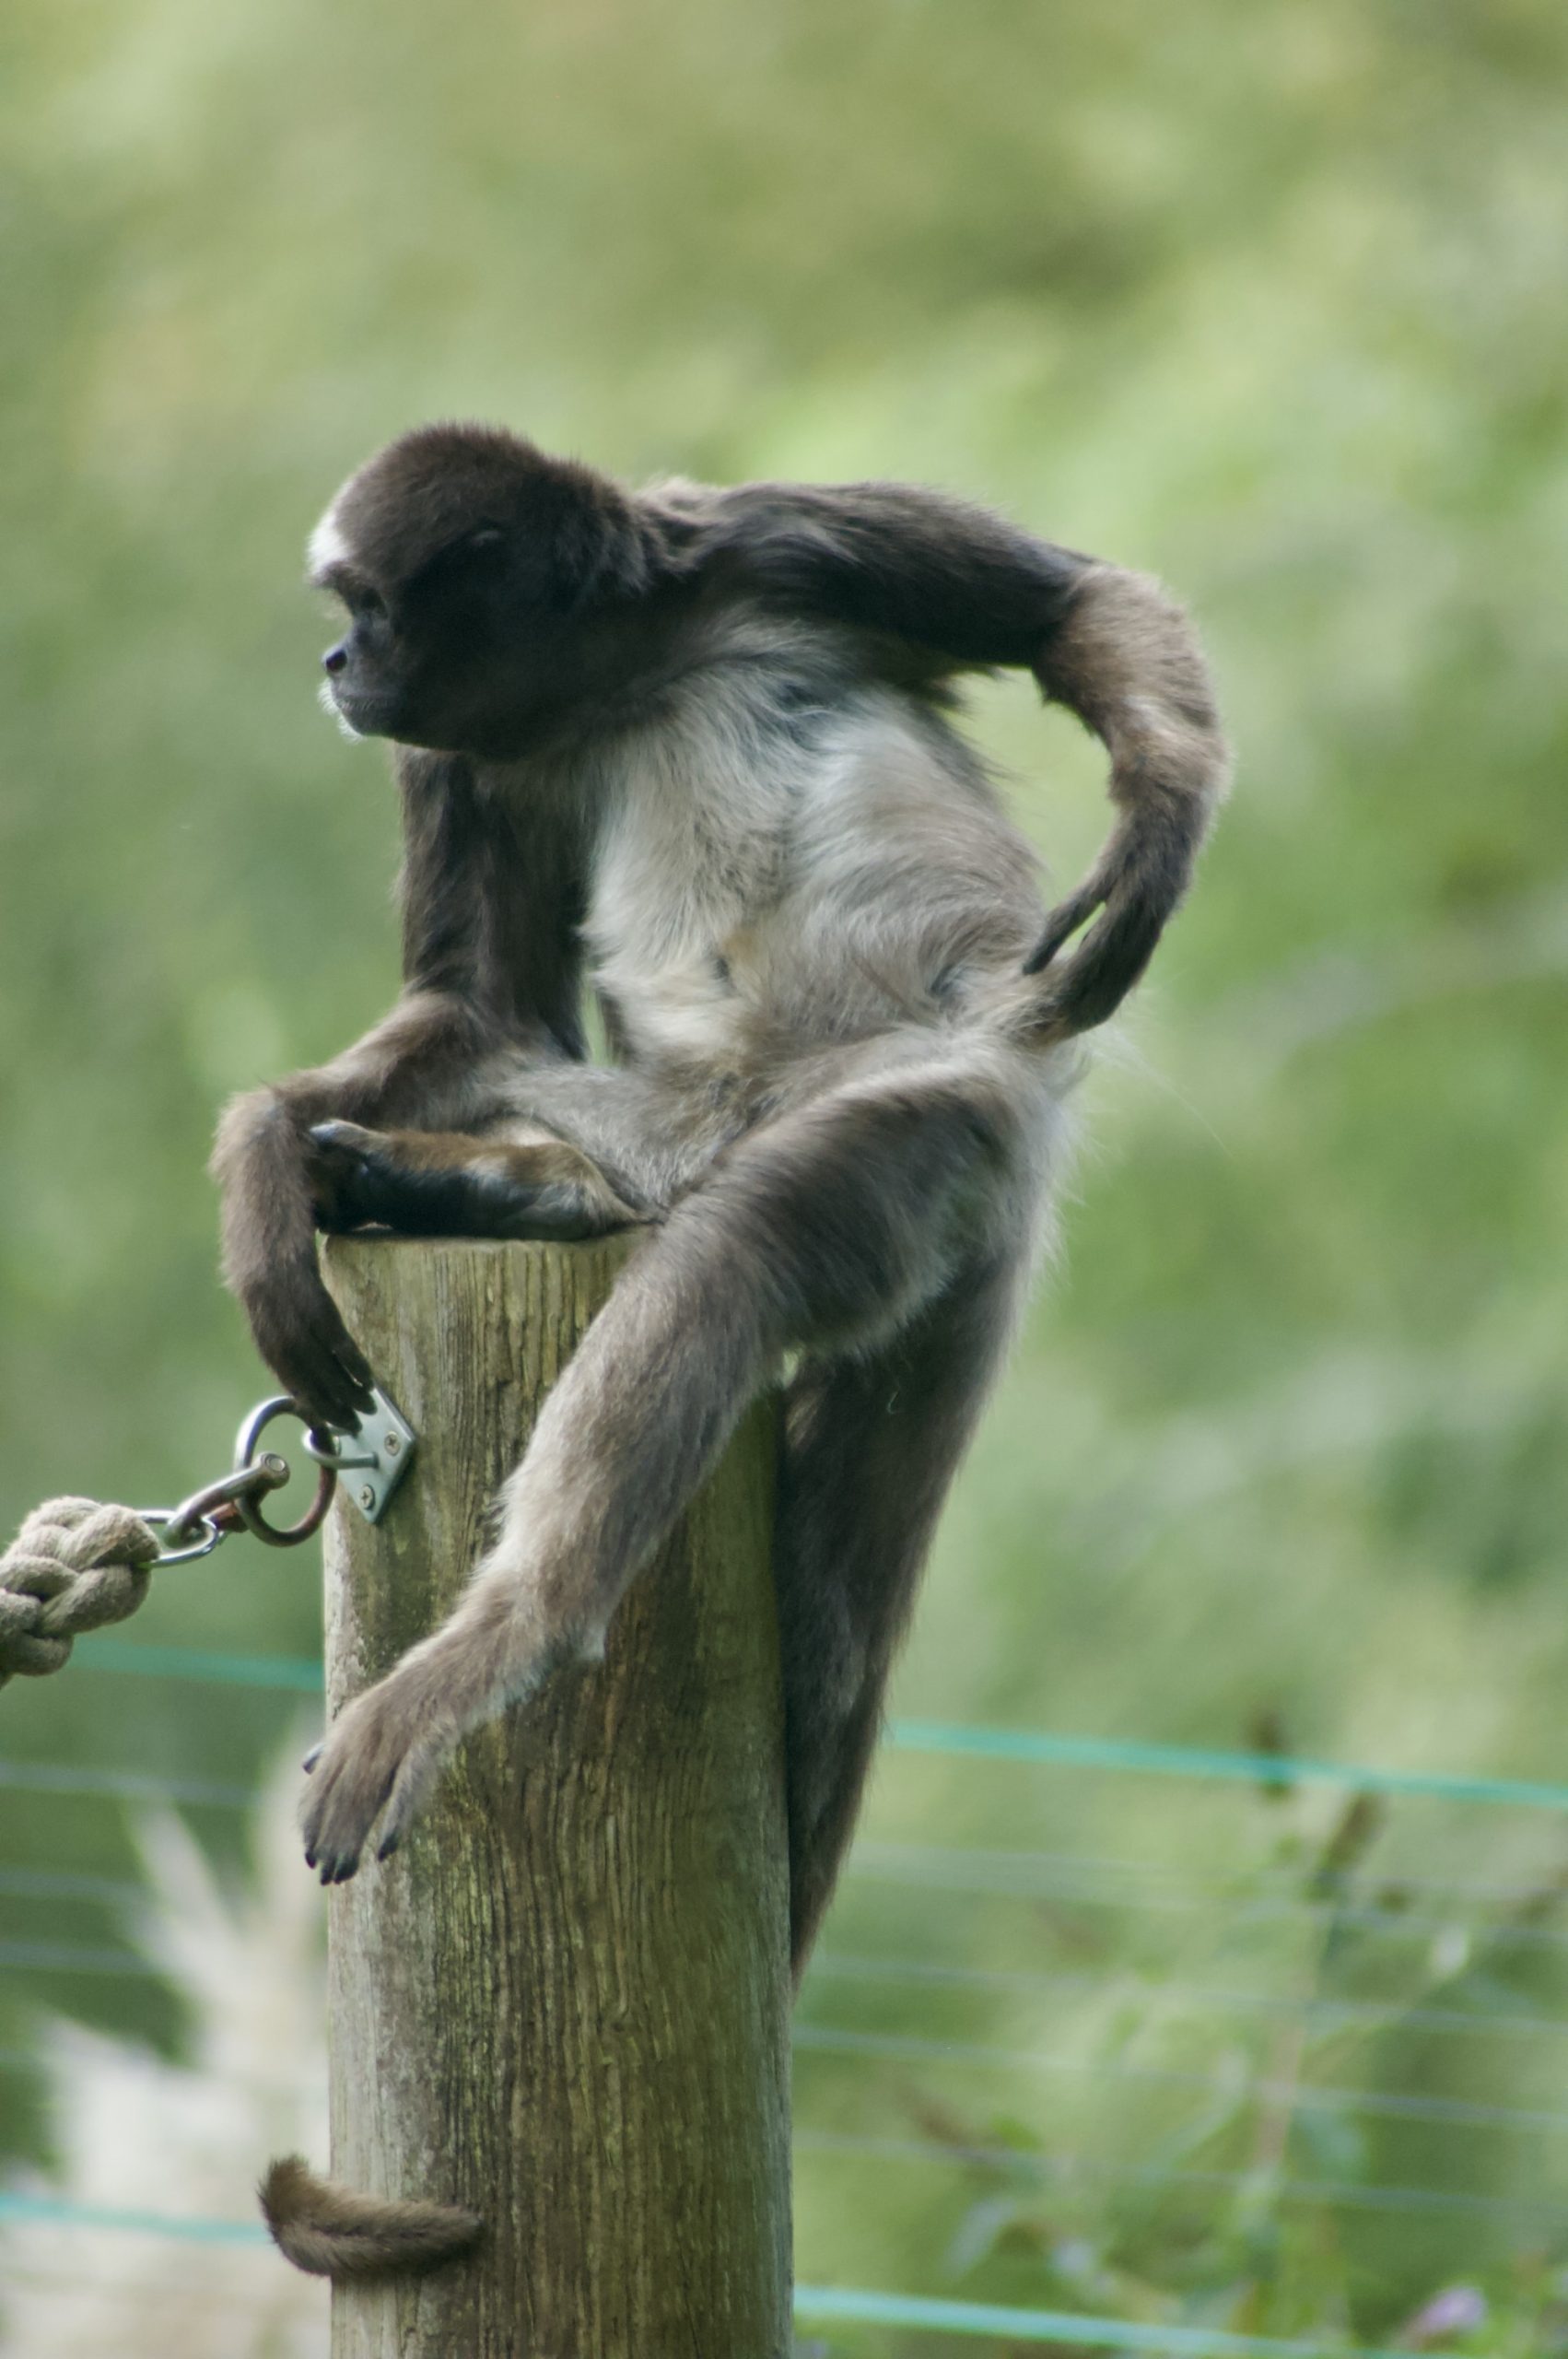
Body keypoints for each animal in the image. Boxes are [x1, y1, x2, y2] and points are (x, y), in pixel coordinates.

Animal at [214, 423, 1227, 2278]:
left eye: (370, 611)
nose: (334, 666)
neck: (618, 672)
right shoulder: (462, 757)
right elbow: (476, 1011)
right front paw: (265, 1154)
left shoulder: (764, 537)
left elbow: (1072, 606)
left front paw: (1160, 824)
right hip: (678, 1118)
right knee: (602, 1149)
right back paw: (428, 1185)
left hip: (938, 1116)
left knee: (733, 1250)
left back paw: (509, 1619)